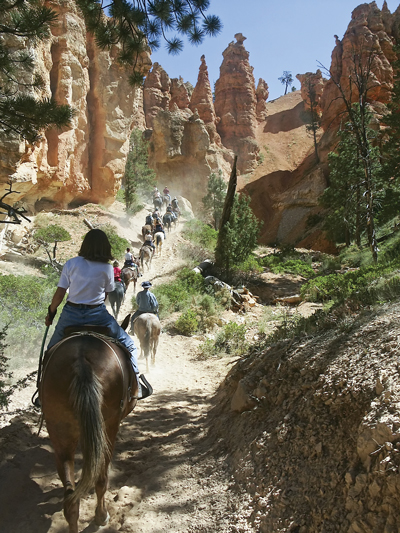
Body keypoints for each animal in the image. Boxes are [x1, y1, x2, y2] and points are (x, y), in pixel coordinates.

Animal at [40, 322, 138, 528]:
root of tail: (81, 361)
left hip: (59, 428)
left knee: (70, 499)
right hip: (107, 425)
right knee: (101, 478)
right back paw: (101, 516)